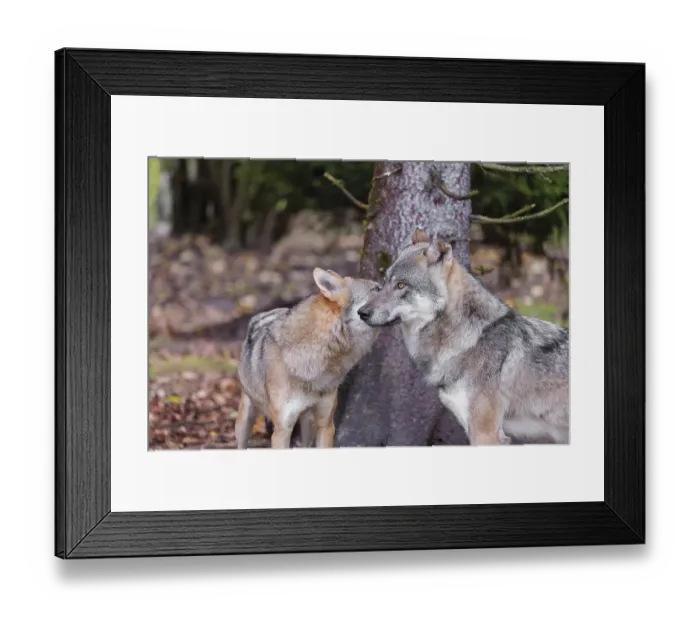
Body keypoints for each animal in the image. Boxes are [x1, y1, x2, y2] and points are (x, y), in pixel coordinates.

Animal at [236, 268, 381, 449]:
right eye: (376, 289)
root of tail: (267, 312)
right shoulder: (282, 431)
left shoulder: (326, 425)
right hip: (245, 420)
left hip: (308, 425)